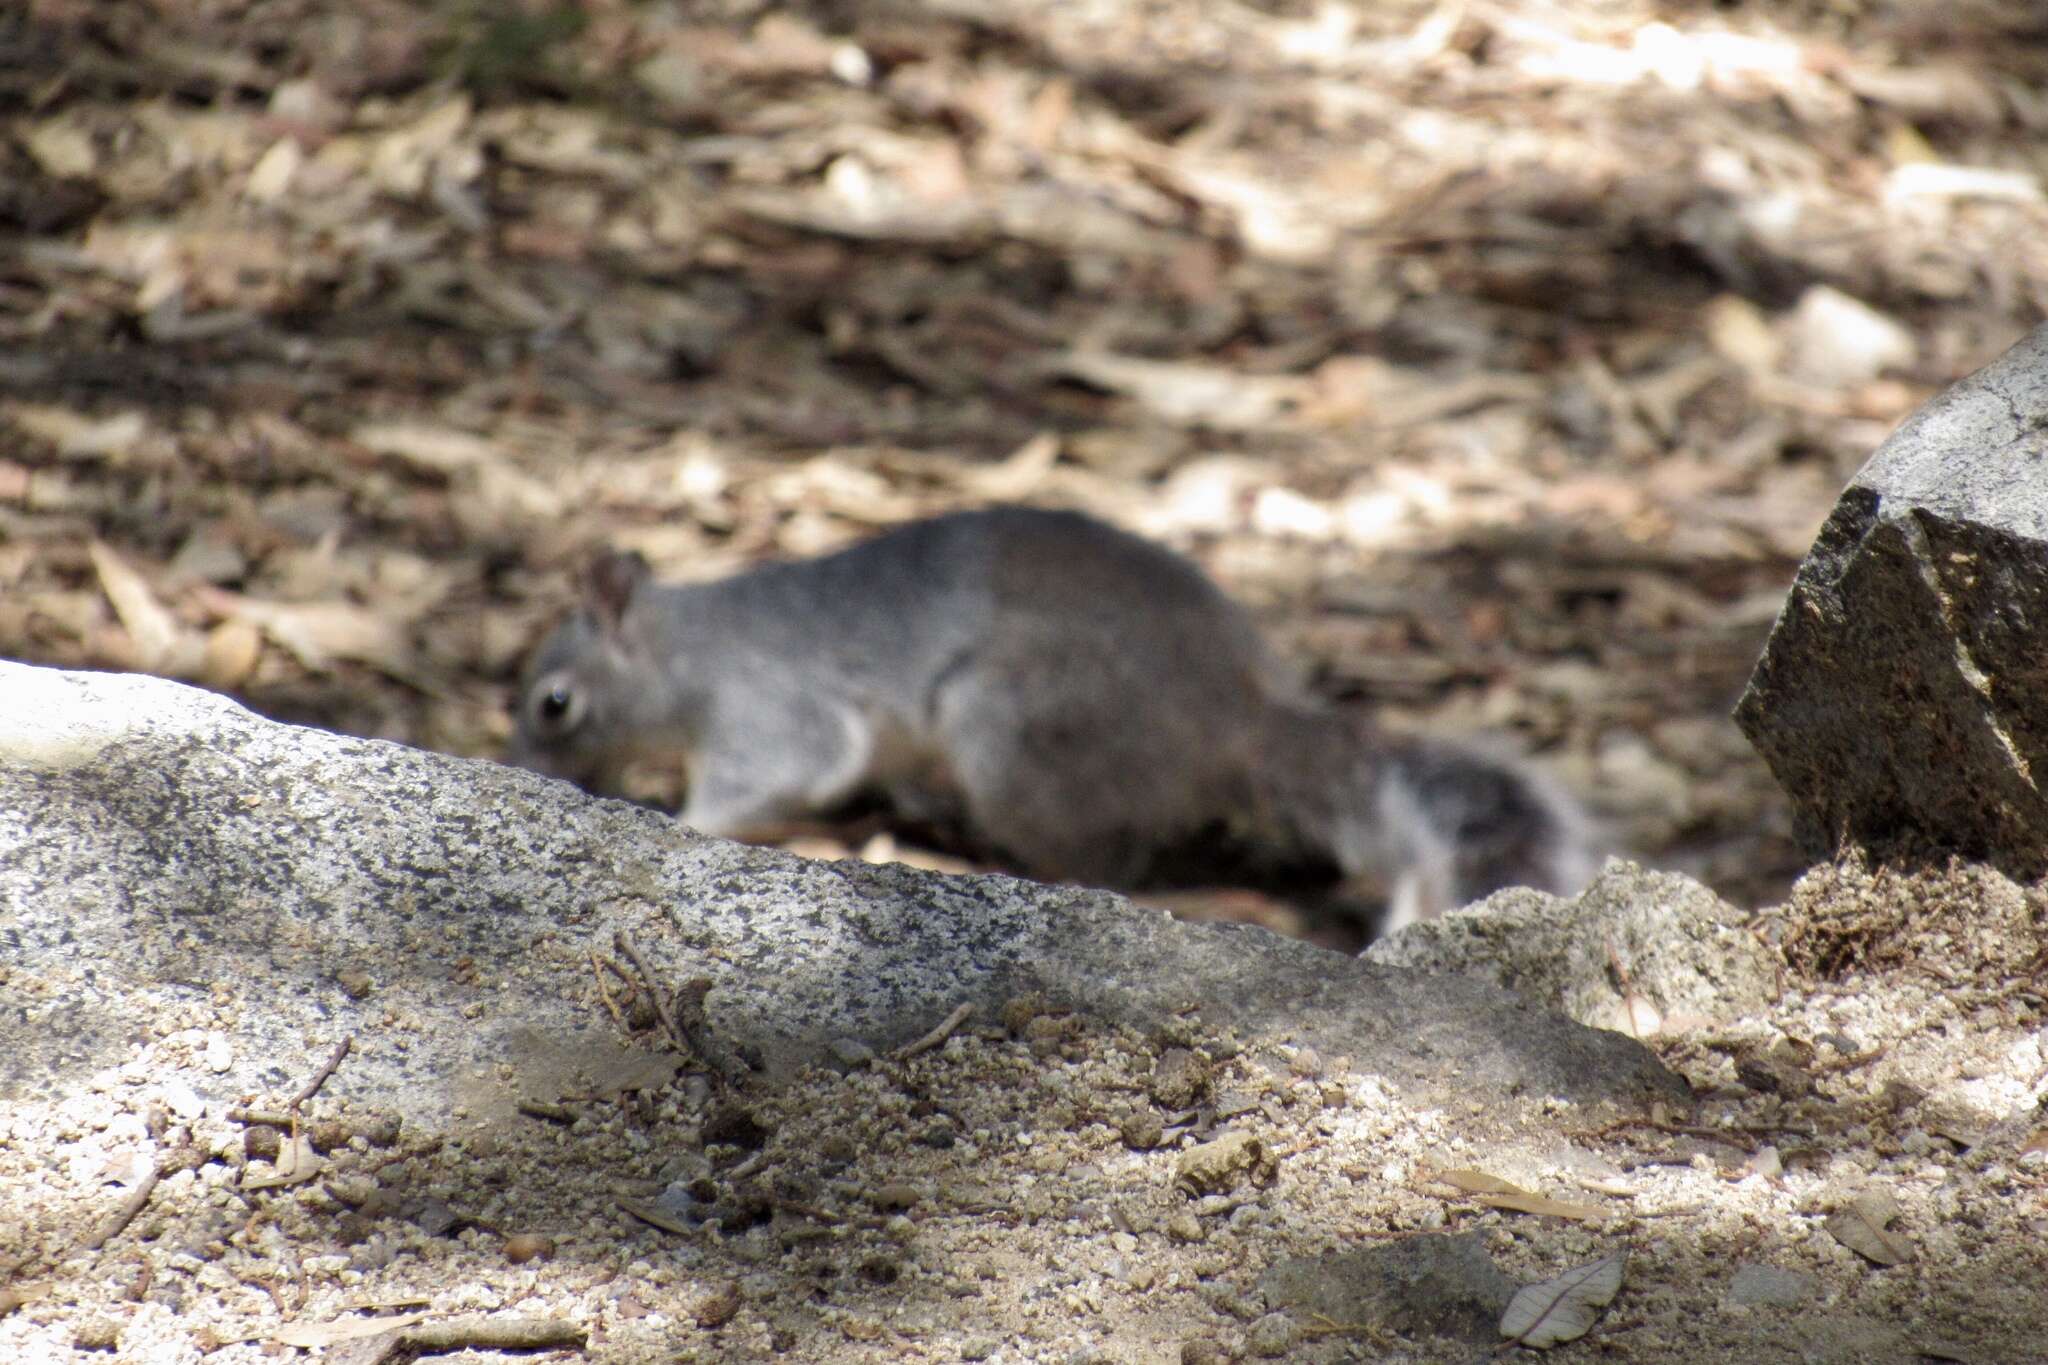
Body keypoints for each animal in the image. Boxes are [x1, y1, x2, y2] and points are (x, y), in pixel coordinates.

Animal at [512, 507, 1597, 933]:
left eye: (554, 703)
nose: (525, 768)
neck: (684, 646)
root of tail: (1233, 721)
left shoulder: (768, 703)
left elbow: (781, 771)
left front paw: (681, 821)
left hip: (1009, 724)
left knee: (1107, 858)